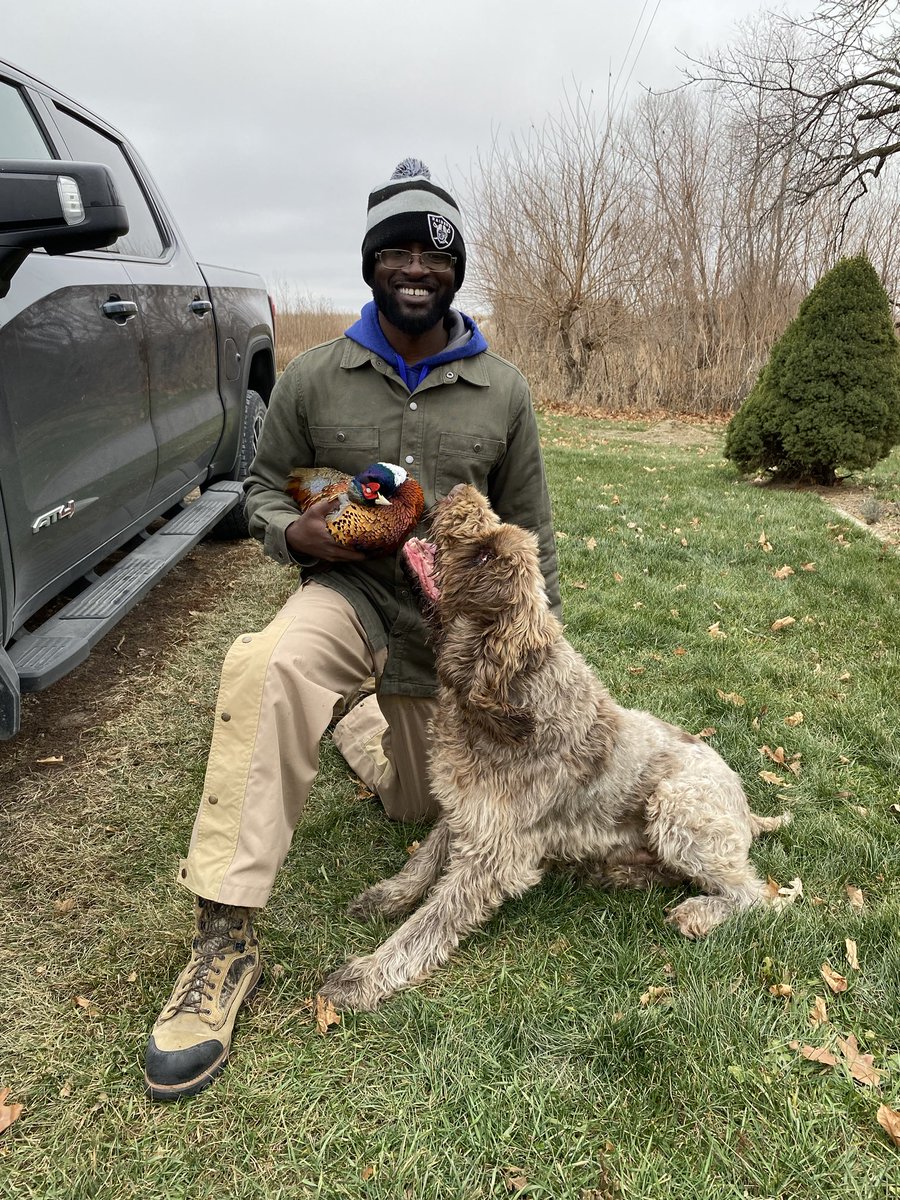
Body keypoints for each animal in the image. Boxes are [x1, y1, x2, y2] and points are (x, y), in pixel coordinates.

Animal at [319, 482, 796, 1008]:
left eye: (485, 556)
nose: (464, 490)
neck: (506, 707)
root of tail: (747, 809)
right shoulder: (466, 810)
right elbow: (422, 861)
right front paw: (388, 896)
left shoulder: (494, 854)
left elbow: (428, 922)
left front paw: (365, 976)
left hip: (676, 806)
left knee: (756, 896)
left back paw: (697, 912)